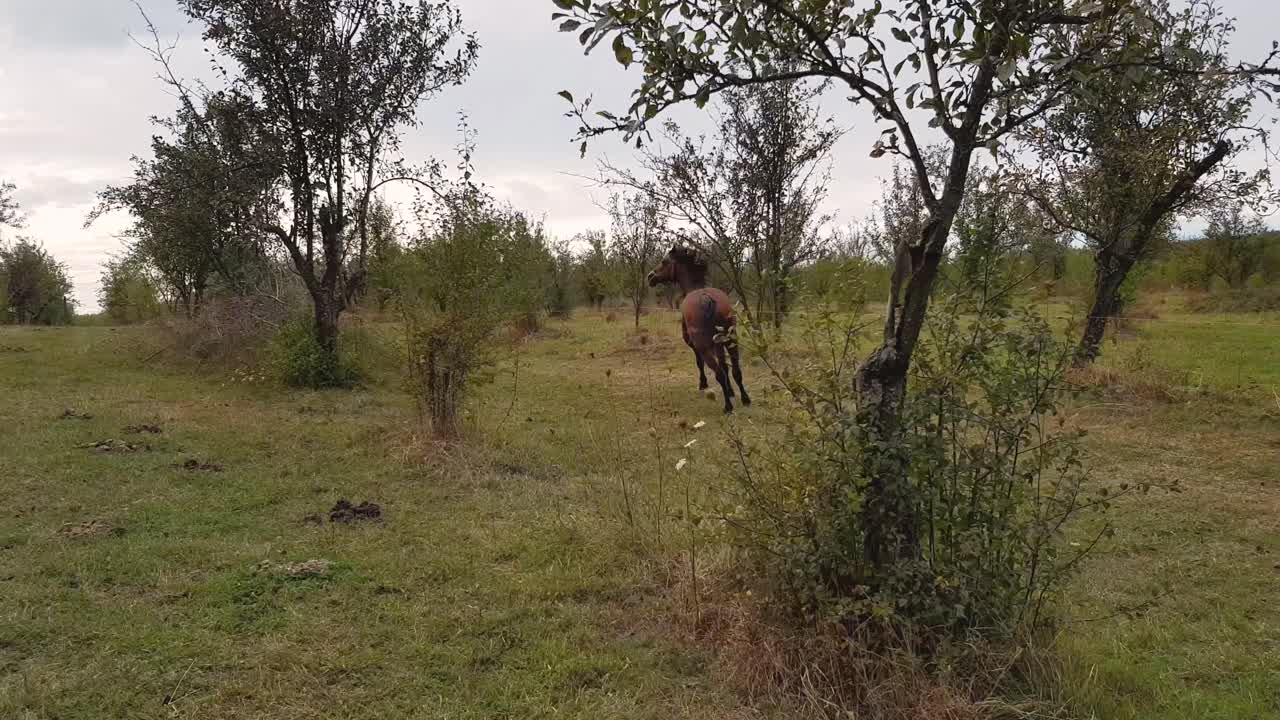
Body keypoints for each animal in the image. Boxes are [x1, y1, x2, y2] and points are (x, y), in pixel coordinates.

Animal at [647, 245, 750, 414]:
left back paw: (727, 407)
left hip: (704, 347)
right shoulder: (719, 345)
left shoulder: (695, 347)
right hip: (731, 341)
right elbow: (725, 366)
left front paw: (703, 384)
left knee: (718, 374)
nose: (650, 277)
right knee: (736, 371)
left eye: (664, 262)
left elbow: (700, 364)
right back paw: (745, 399)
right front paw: (730, 391)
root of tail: (707, 299)